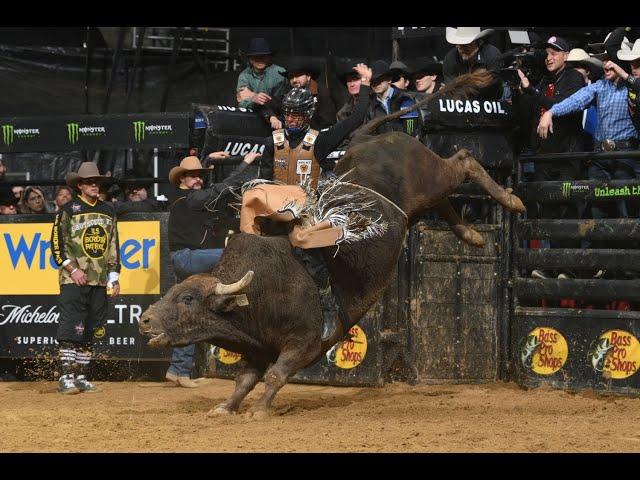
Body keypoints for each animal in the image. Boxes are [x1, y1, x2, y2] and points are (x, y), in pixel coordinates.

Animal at [140, 69, 524, 418]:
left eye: (188, 299)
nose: (144, 319)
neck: (258, 289)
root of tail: (370, 137)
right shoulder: (256, 347)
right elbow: (245, 379)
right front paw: (226, 407)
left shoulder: (305, 343)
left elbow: (276, 375)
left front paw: (260, 411)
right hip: (419, 204)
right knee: (444, 200)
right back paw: (472, 235)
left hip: (432, 177)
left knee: (464, 160)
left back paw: (512, 200)